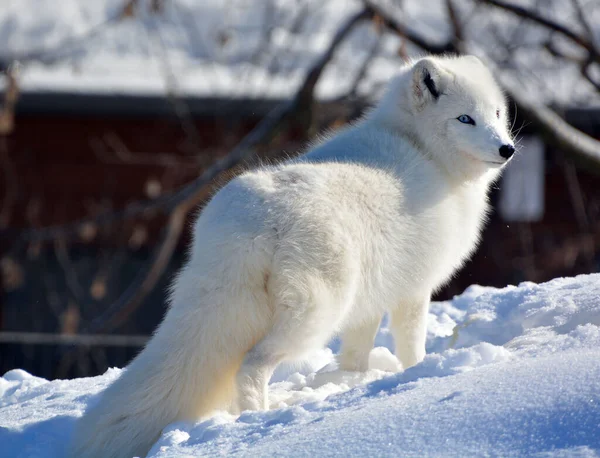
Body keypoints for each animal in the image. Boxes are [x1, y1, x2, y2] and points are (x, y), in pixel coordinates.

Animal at [71, 54, 516, 458]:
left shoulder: (371, 300)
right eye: (465, 119)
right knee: (252, 364)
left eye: (496, 113)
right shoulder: (414, 289)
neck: (424, 151)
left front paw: (352, 383)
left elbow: (356, 356)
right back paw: (258, 417)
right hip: (314, 315)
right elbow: (411, 346)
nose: (507, 148)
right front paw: (414, 373)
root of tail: (254, 220)